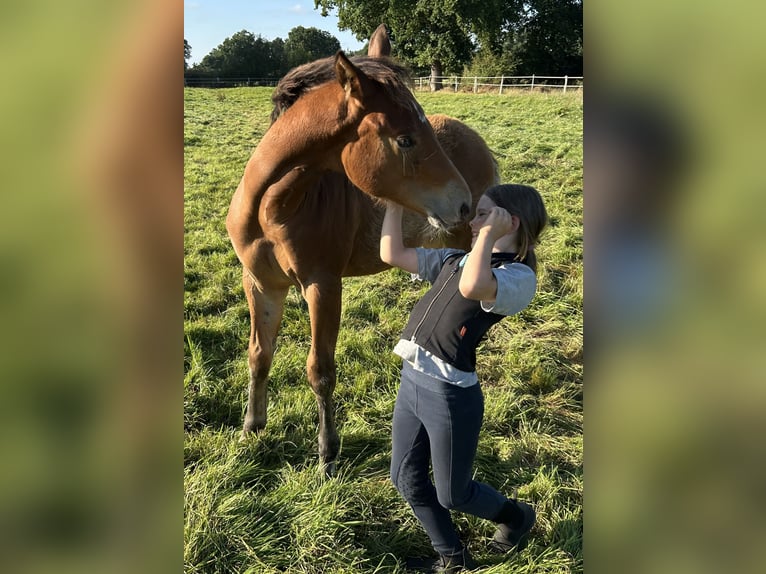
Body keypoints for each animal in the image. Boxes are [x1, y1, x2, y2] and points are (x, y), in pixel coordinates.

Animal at [226, 27, 498, 475]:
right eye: (404, 139)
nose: (460, 203)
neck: (272, 209)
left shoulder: (322, 286)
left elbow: (320, 370)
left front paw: (326, 455)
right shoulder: (261, 283)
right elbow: (259, 354)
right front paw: (252, 427)